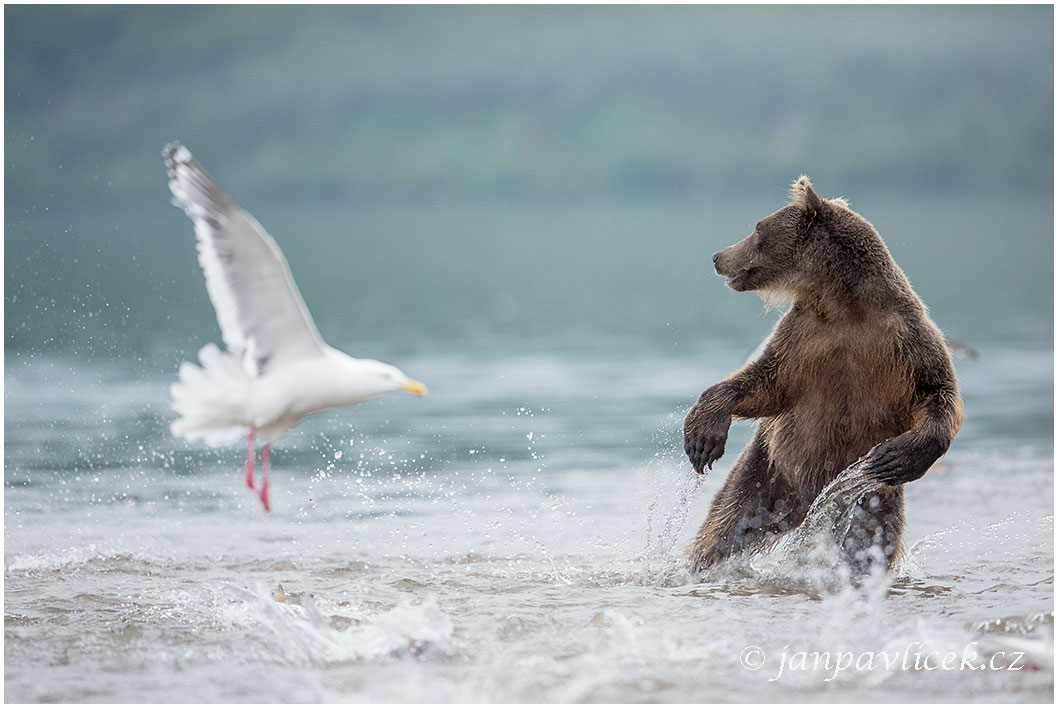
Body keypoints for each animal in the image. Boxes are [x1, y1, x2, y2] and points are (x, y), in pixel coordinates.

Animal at [681, 177, 964, 575]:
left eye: (757, 229)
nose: (718, 255)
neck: (844, 305)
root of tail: (804, 503)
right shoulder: (802, 342)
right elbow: (764, 382)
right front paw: (703, 436)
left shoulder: (906, 339)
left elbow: (938, 391)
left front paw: (899, 455)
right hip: (768, 470)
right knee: (727, 523)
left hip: (869, 498)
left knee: (866, 542)